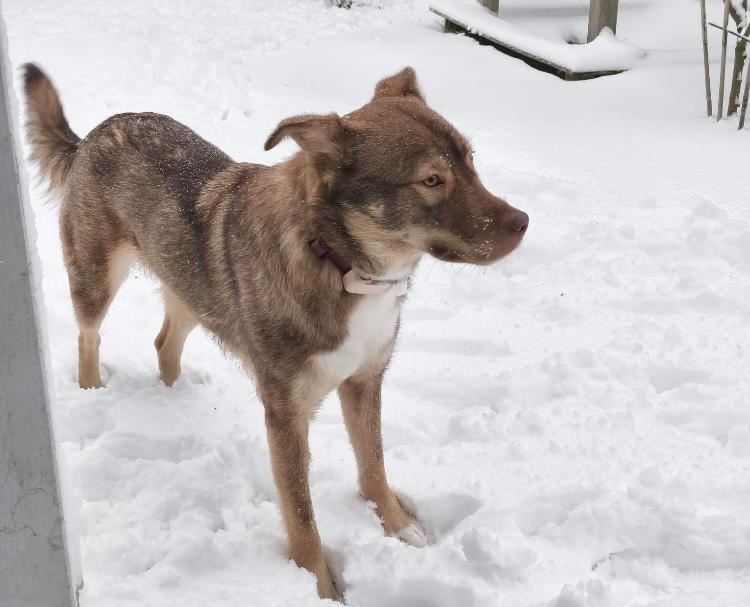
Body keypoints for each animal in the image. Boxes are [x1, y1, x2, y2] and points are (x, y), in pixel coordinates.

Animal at [24, 63, 528, 600]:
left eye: (471, 161)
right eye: (432, 180)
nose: (524, 222)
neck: (338, 262)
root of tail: (92, 135)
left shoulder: (365, 381)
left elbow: (373, 466)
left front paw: (398, 525)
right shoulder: (286, 413)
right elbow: (302, 517)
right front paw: (320, 588)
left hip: (190, 286)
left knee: (164, 343)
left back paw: (173, 397)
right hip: (97, 277)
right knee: (89, 337)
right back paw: (92, 389)